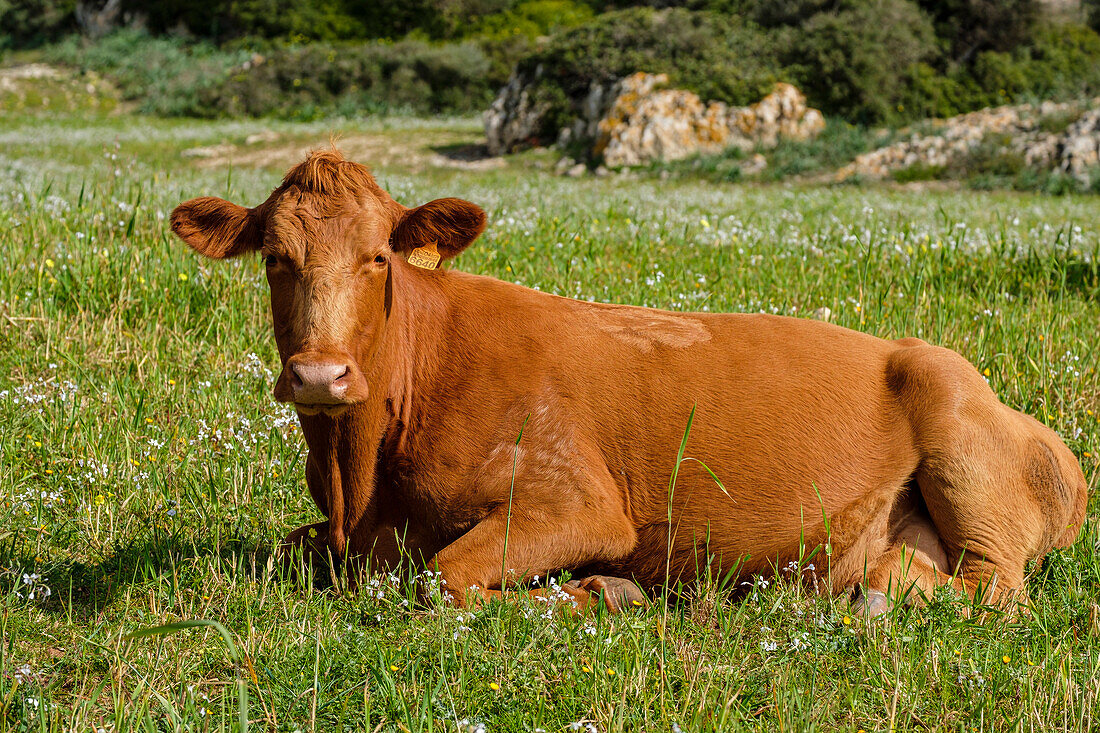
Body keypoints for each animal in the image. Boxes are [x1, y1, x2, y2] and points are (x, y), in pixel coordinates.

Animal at [169, 150, 1082, 611]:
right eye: (274, 257)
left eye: (378, 258)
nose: (320, 373)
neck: (359, 480)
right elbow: (290, 550)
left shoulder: (575, 500)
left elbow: (445, 578)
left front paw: (602, 590)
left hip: (963, 444)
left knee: (989, 590)